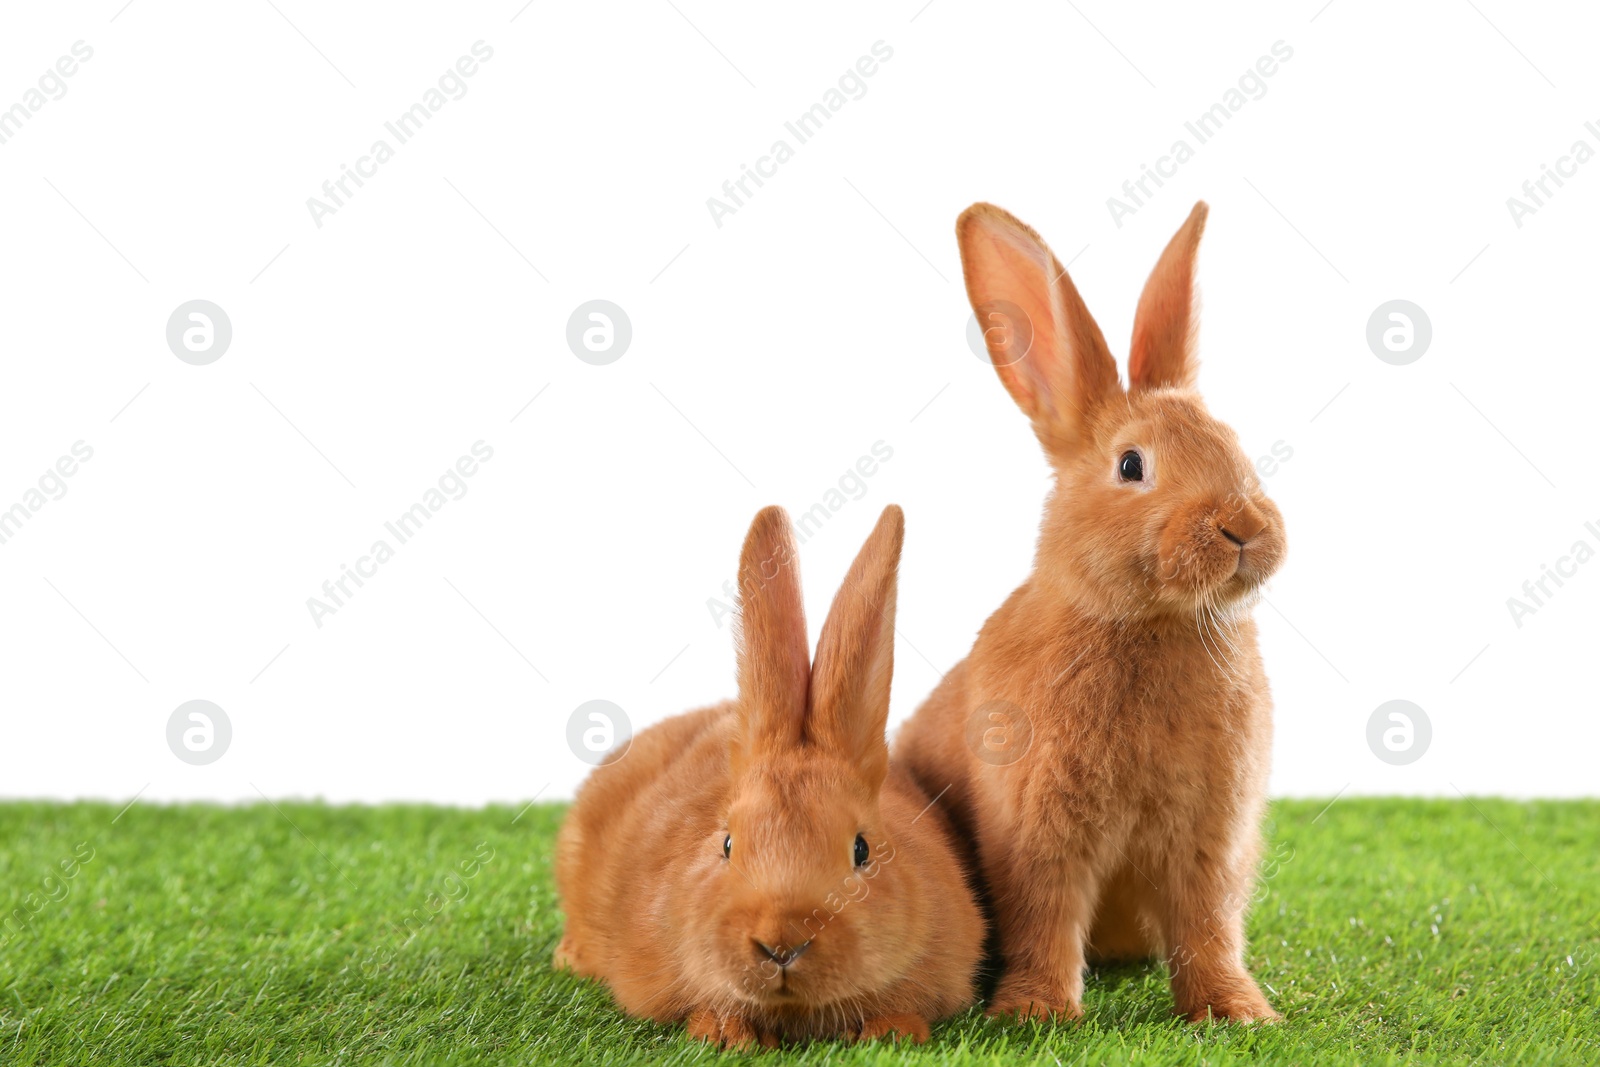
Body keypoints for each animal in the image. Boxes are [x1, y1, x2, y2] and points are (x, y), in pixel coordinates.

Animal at [902, 199, 1286, 1023]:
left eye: (1233, 443)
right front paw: (1036, 1013)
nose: (1243, 526)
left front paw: (1235, 1012)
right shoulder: (1036, 829)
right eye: (1132, 465)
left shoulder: (1213, 835)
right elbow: (1045, 915)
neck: (1151, 622)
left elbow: (1208, 923)